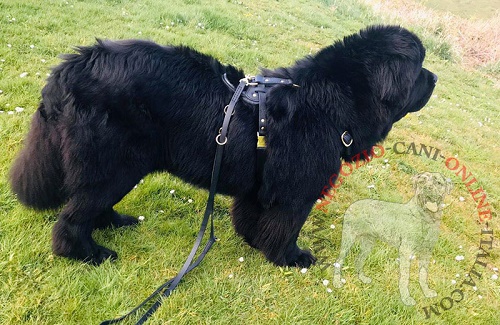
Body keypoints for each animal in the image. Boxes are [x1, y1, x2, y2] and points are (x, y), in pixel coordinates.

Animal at [9, 24, 436, 266]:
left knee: (88, 205)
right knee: (72, 218)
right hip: (116, 164)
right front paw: (290, 258)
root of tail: (75, 64)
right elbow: (287, 227)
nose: (434, 79)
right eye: (419, 68)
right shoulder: (296, 192)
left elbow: (254, 217)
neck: (330, 103)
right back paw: (89, 254)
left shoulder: (260, 184)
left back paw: (114, 222)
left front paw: (253, 242)